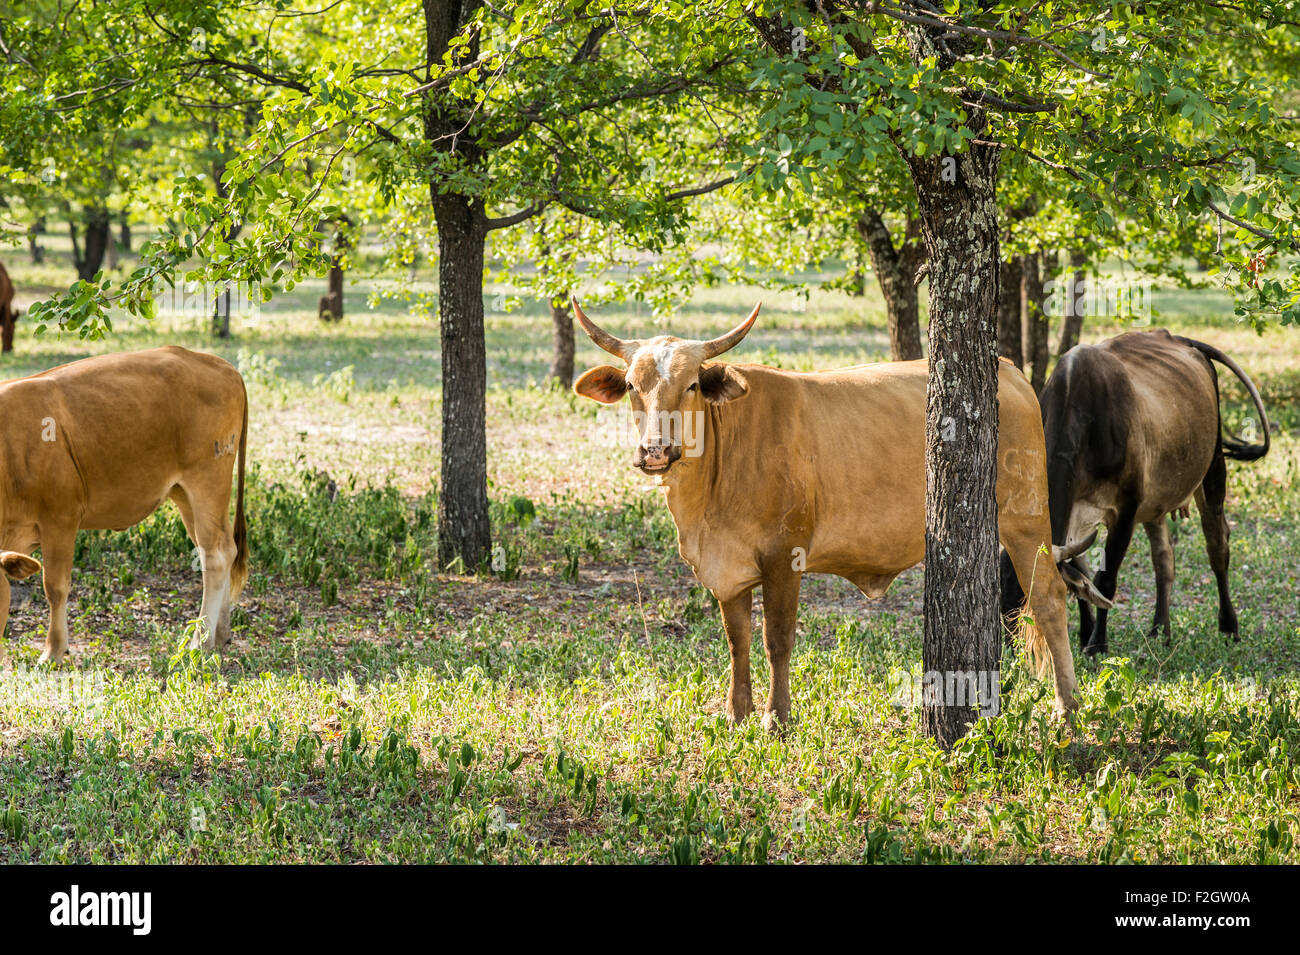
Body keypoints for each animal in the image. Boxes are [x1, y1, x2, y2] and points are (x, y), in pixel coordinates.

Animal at [0, 345, 246, 665]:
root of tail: (219, 364)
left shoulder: (61, 517)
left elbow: (55, 587)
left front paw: (53, 651)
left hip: (207, 480)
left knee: (217, 554)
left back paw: (199, 643)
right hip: (184, 493)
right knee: (218, 549)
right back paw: (220, 634)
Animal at [574, 302, 1102, 727]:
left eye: (689, 386)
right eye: (631, 385)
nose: (655, 451)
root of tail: (1009, 371)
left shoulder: (783, 557)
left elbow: (776, 640)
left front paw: (776, 718)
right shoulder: (728, 570)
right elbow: (737, 641)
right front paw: (736, 714)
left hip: (1025, 518)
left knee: (1048, 597)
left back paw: (1067, 707)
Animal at [1003, 330, 1268, 657]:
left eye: (1028, 601)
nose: (1006, 649)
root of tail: (1179, 338)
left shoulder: (1125, 509)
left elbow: (1105, 580)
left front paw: (1097, 643)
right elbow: (1081, 570)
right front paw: (1086, 633)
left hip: (1213, 467)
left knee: (1217, 543)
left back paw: (1229, 625)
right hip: (1157, 496)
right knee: (1164, 557)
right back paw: (1160, 629)